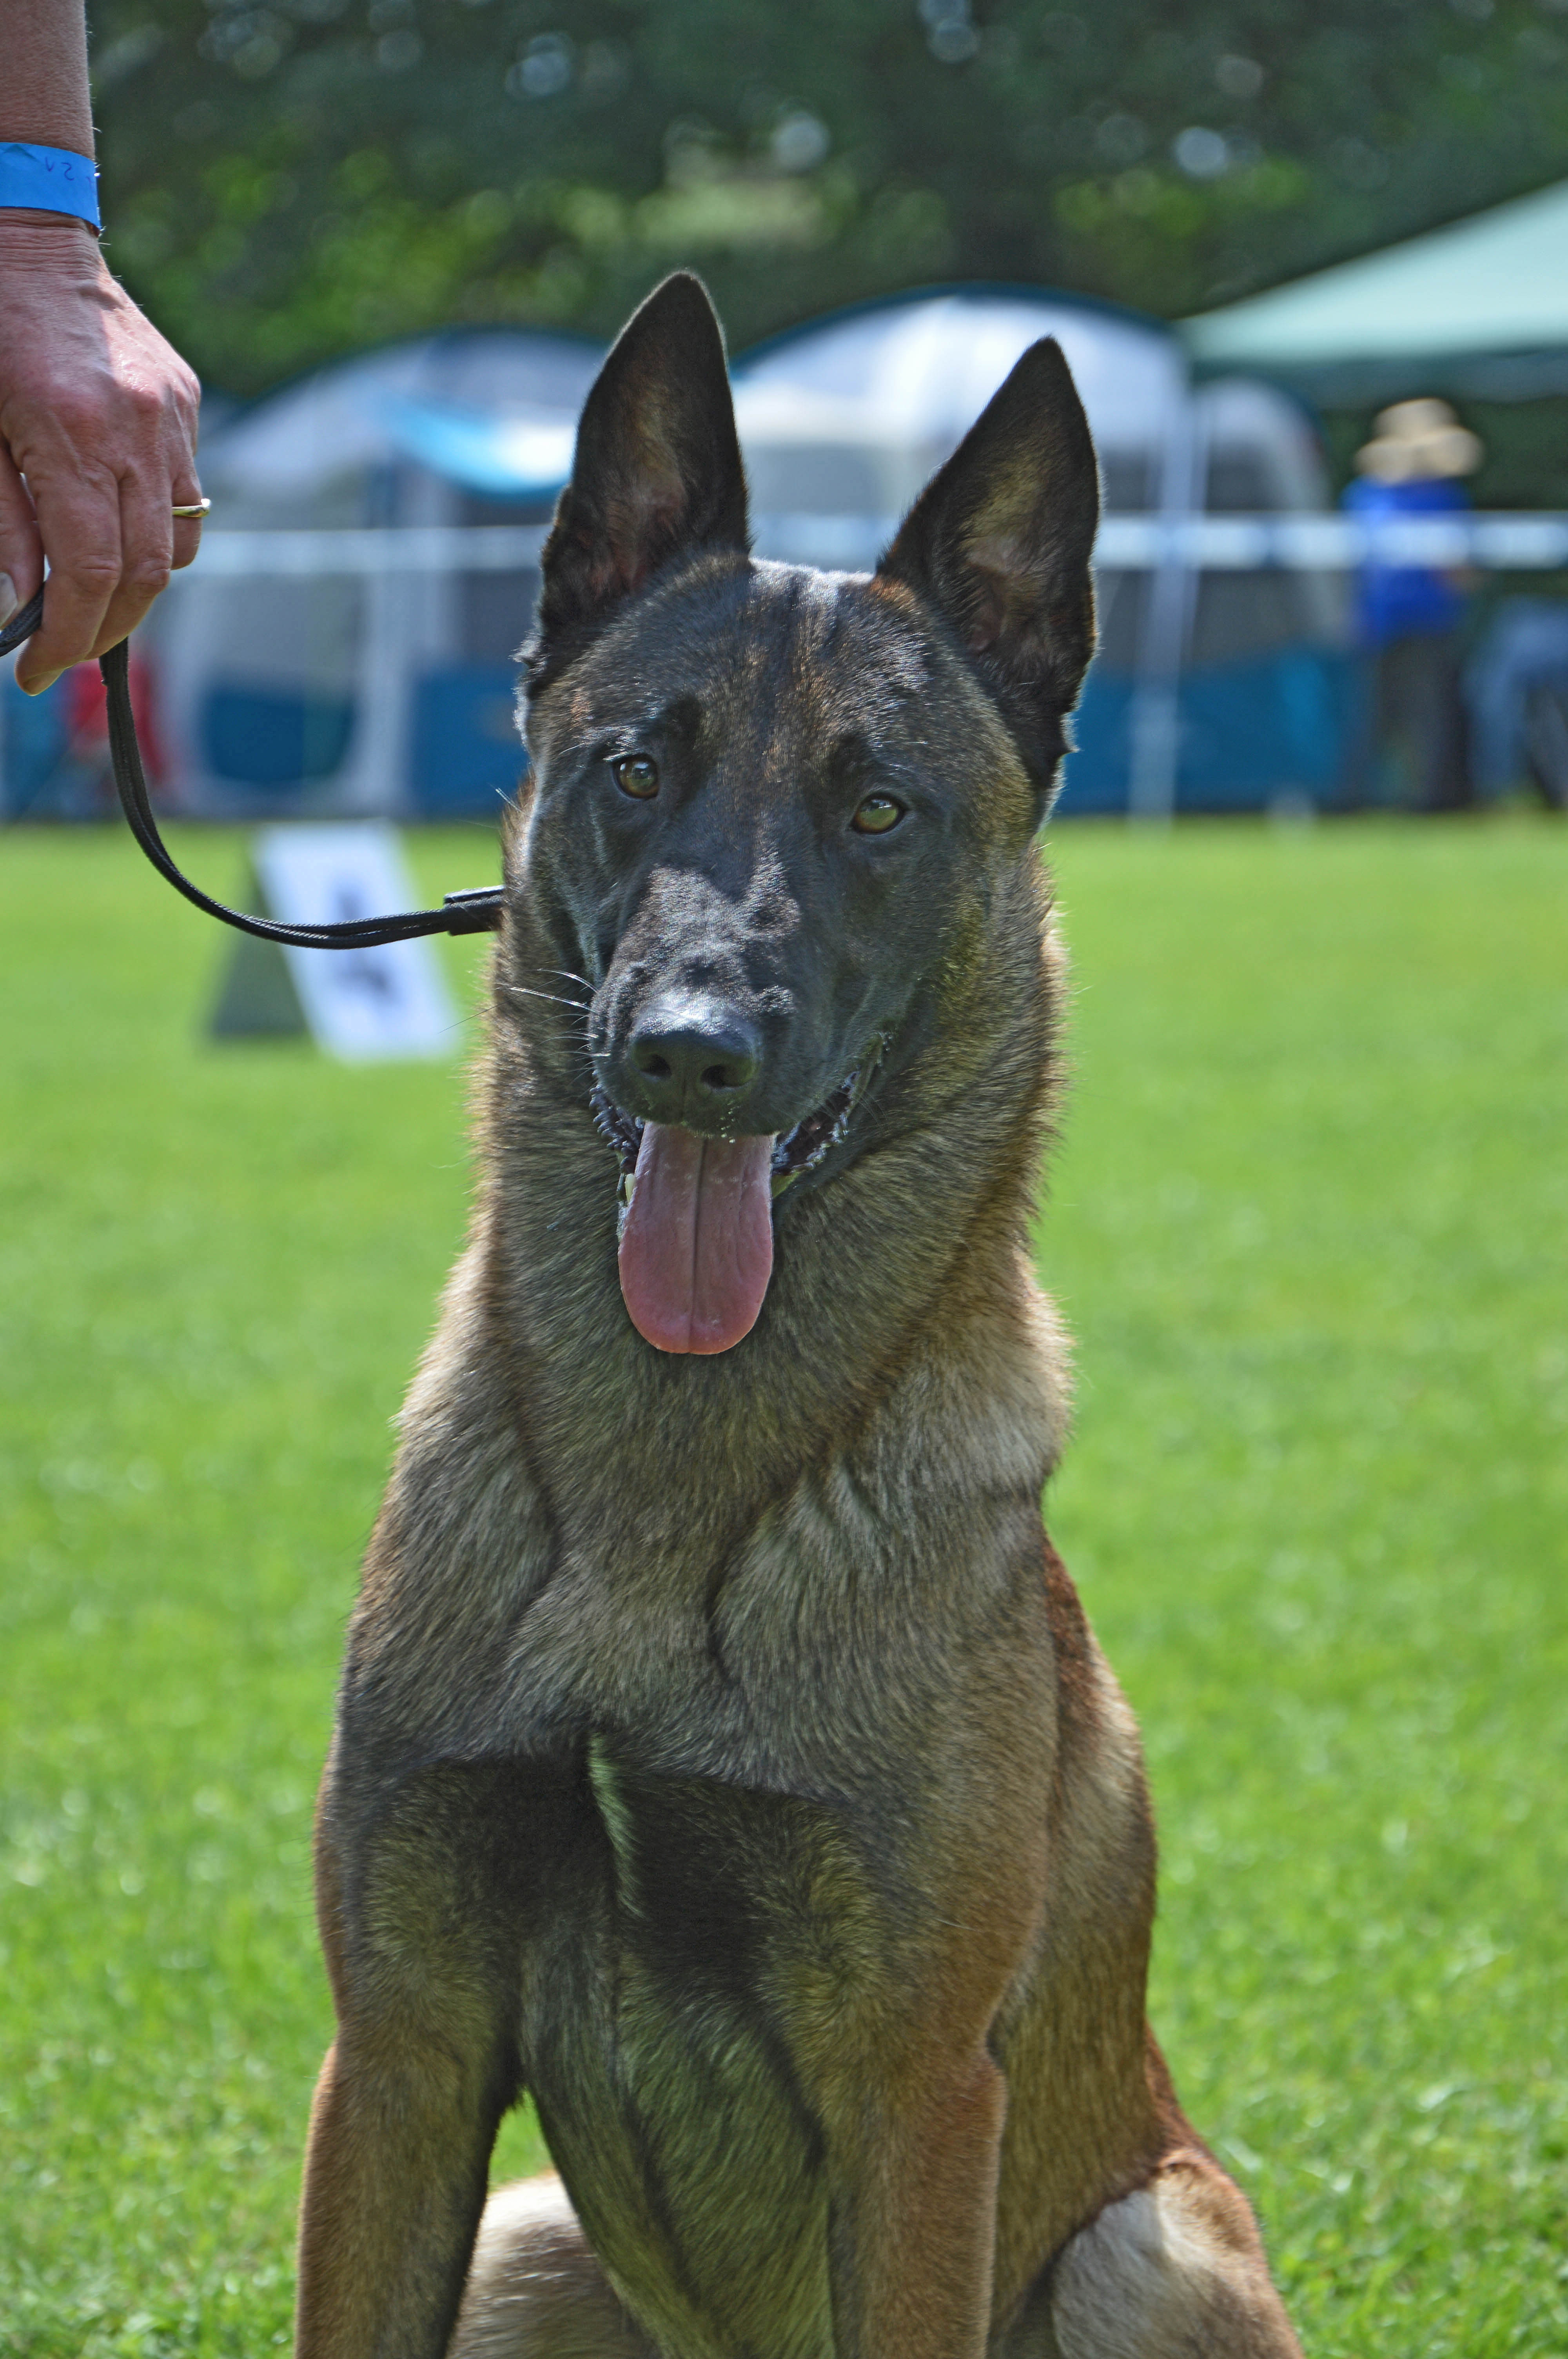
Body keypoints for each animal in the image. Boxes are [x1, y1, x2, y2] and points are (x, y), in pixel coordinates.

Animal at [290, 280, 1292, 2359]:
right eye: (631, 771)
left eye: (879, 807)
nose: (691, 1051)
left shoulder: (913, 2095)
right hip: (524, 2242)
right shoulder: (403, 2056)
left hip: (1142, 2248)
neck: (659, 1506)